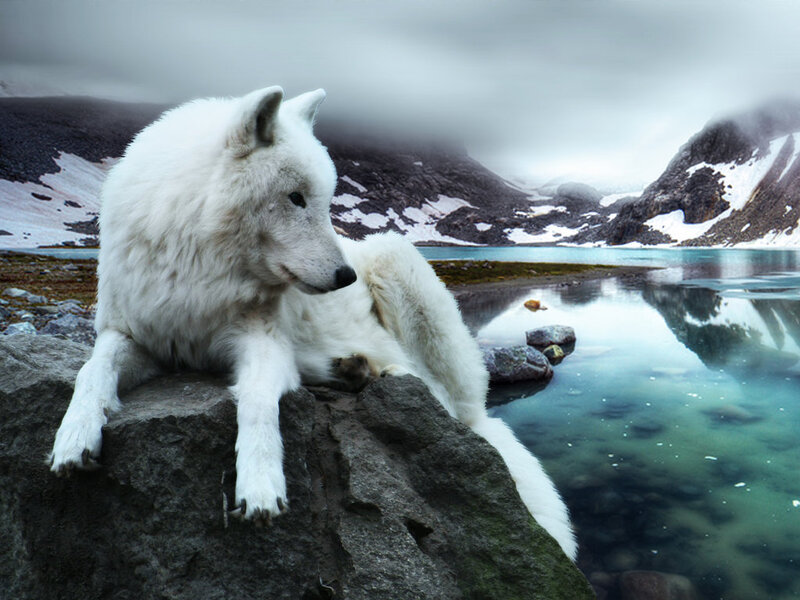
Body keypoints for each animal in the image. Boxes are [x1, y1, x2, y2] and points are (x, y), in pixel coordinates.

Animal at [49, 86, 577, 559]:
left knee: (447, 400)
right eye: (295, 198)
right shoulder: (134, 334)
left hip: (396, 260)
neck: (198, 262)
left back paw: (379, 374)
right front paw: (73, 438)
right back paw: (351, 370)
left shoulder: (265, 342)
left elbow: (256, 400)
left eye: (324, 200)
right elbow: (92, 370)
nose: (347, 277)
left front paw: (260, 484)